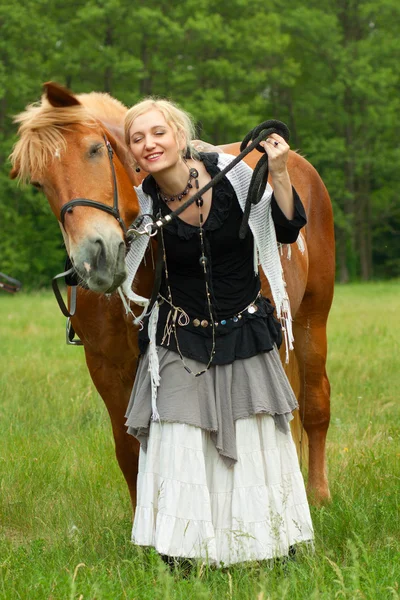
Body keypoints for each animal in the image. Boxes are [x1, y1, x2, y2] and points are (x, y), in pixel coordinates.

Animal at [10, 82, 334, 508]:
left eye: (94, 149)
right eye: (39, 182)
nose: (96, 257)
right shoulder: (106, 366)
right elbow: (129, 450)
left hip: (311, 319)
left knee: (314, 404)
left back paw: (318, 494)